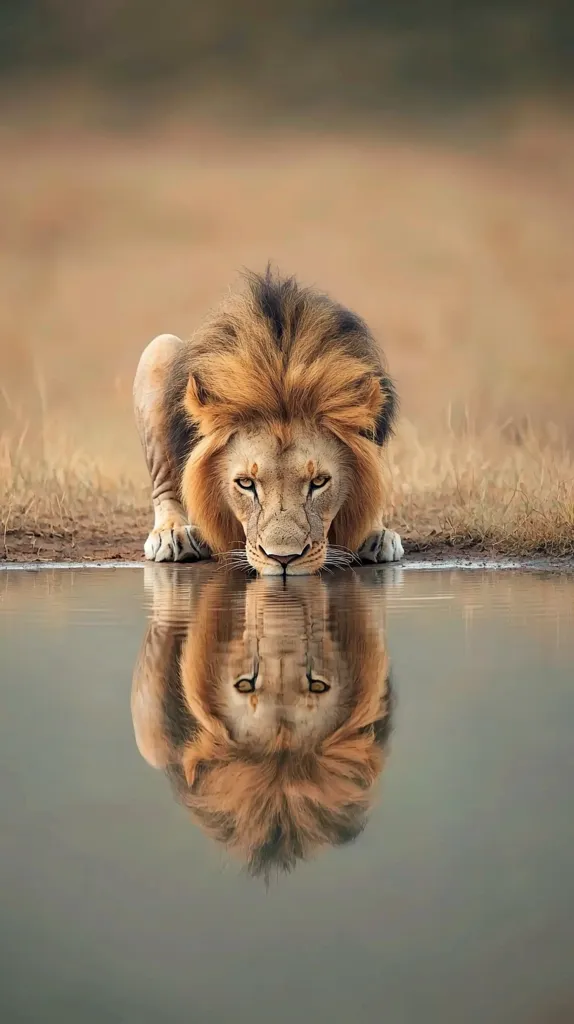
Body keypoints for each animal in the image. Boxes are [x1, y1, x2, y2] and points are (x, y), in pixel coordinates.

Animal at [133, 266, 403, 575]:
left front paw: (377, 533)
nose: (283, 559)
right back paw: (172, 534)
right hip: (159, 349)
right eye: (245, 483)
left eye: (319, 482)